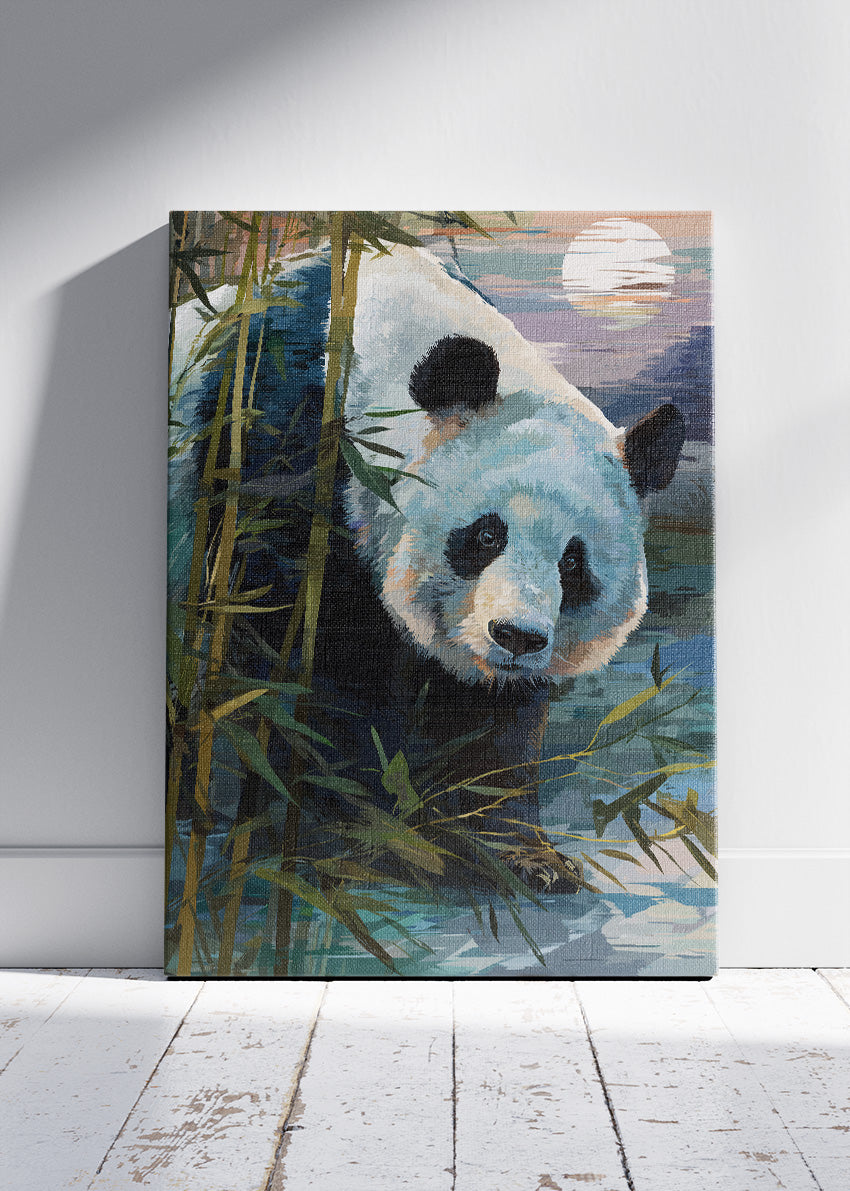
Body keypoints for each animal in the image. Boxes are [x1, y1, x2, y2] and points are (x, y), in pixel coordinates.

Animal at [171, 241, 685, 892]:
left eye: (573, 563)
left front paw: (521, 855)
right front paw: (355, 838)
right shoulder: (271, 462)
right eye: (487, 534)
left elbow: (496, 720)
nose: (516, 636)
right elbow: (298, 672)